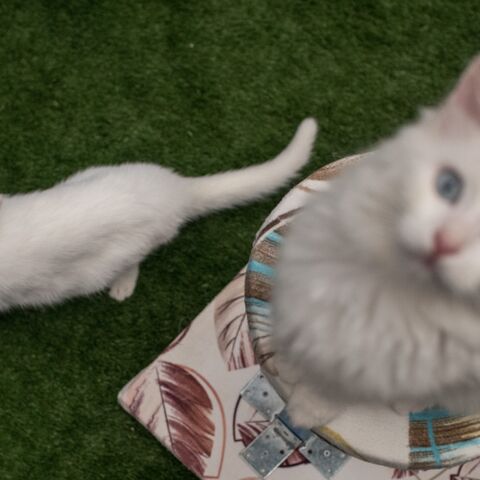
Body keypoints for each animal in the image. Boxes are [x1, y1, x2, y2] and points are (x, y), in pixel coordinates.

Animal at [272, 56, 480, 428]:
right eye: (449, 185)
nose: (445, 242)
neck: (388, 292)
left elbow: (331, 386)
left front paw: (307, 410)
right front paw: (289, 362)